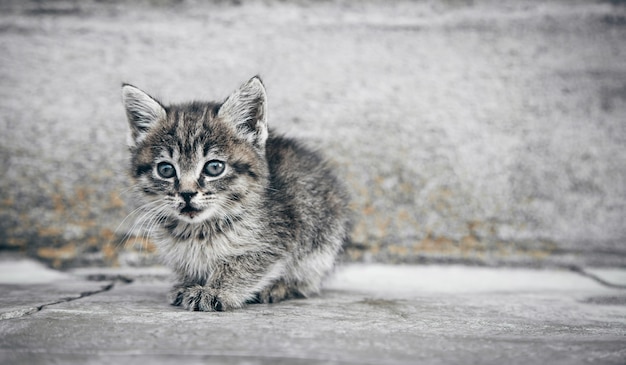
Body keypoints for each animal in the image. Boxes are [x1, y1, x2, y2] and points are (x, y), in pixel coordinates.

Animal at [119, 77, 348, 310]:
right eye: (165, 169)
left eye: (214, 167)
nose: (187, 193)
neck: (198, 229)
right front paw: (188, 283)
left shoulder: (280, 234)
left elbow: (242, 264)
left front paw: (215, 290)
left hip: (322, 237)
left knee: (308, 280)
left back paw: (280, 287)